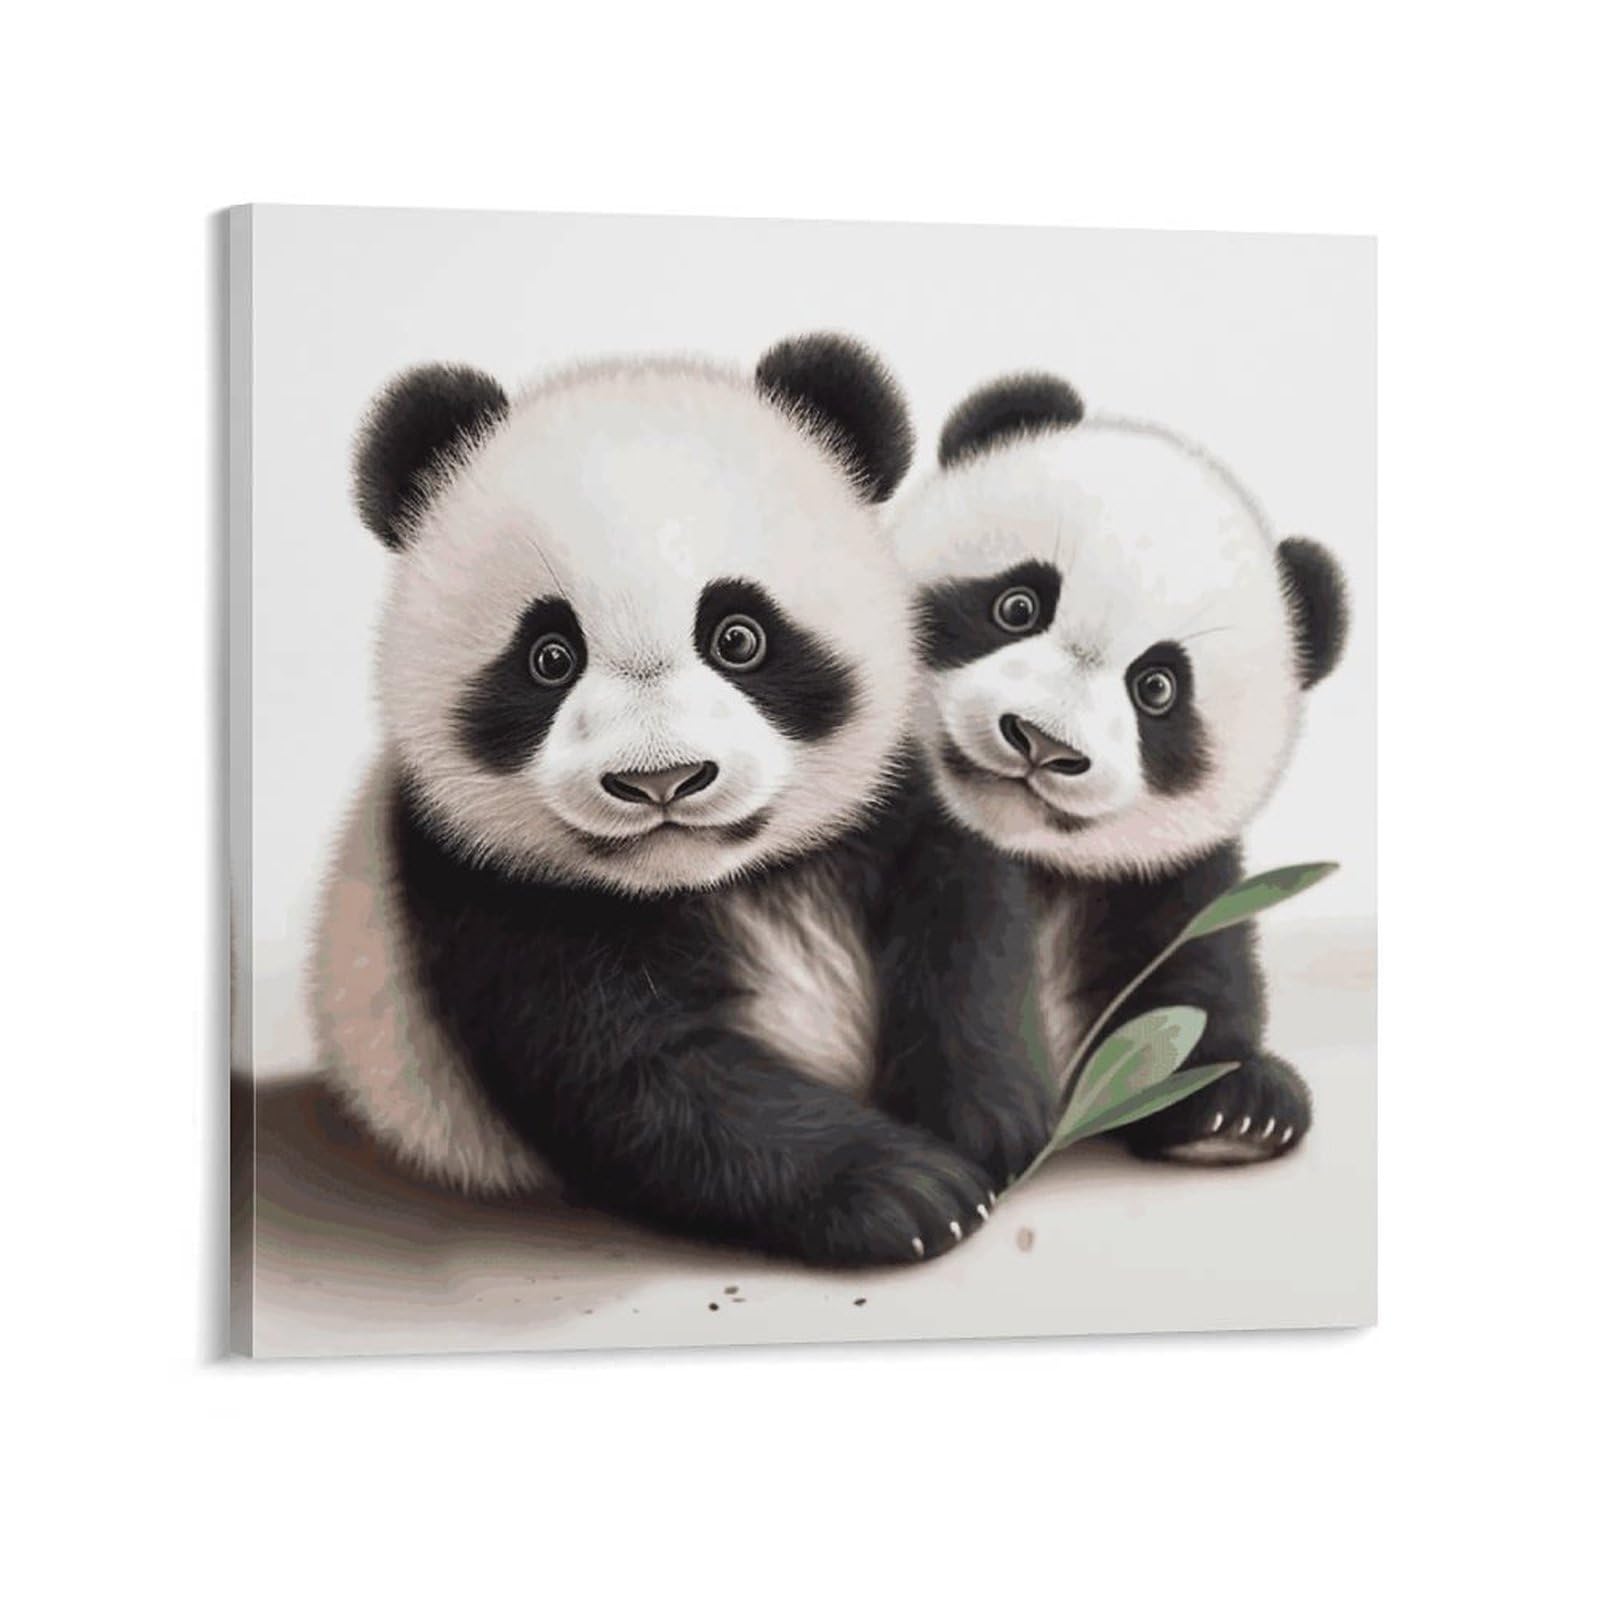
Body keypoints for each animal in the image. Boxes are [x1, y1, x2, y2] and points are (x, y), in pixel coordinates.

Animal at [311, 334, 1050, 1267]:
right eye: (549, 656)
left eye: (739, 636)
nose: (661, 781)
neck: (715, 877)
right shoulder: (478, 887)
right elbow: (638, 1075)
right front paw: (911, 1191)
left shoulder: (897, 783)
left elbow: (966, 918)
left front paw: (991, 1119)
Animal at [891, 374, 1349, 1165]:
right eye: (1018, 605)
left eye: (1157, 688)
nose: (1041, 742)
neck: (1029, 856)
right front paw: (983, 1115)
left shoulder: (1163, 873)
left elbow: (1197, 961)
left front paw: (1236, 1110)